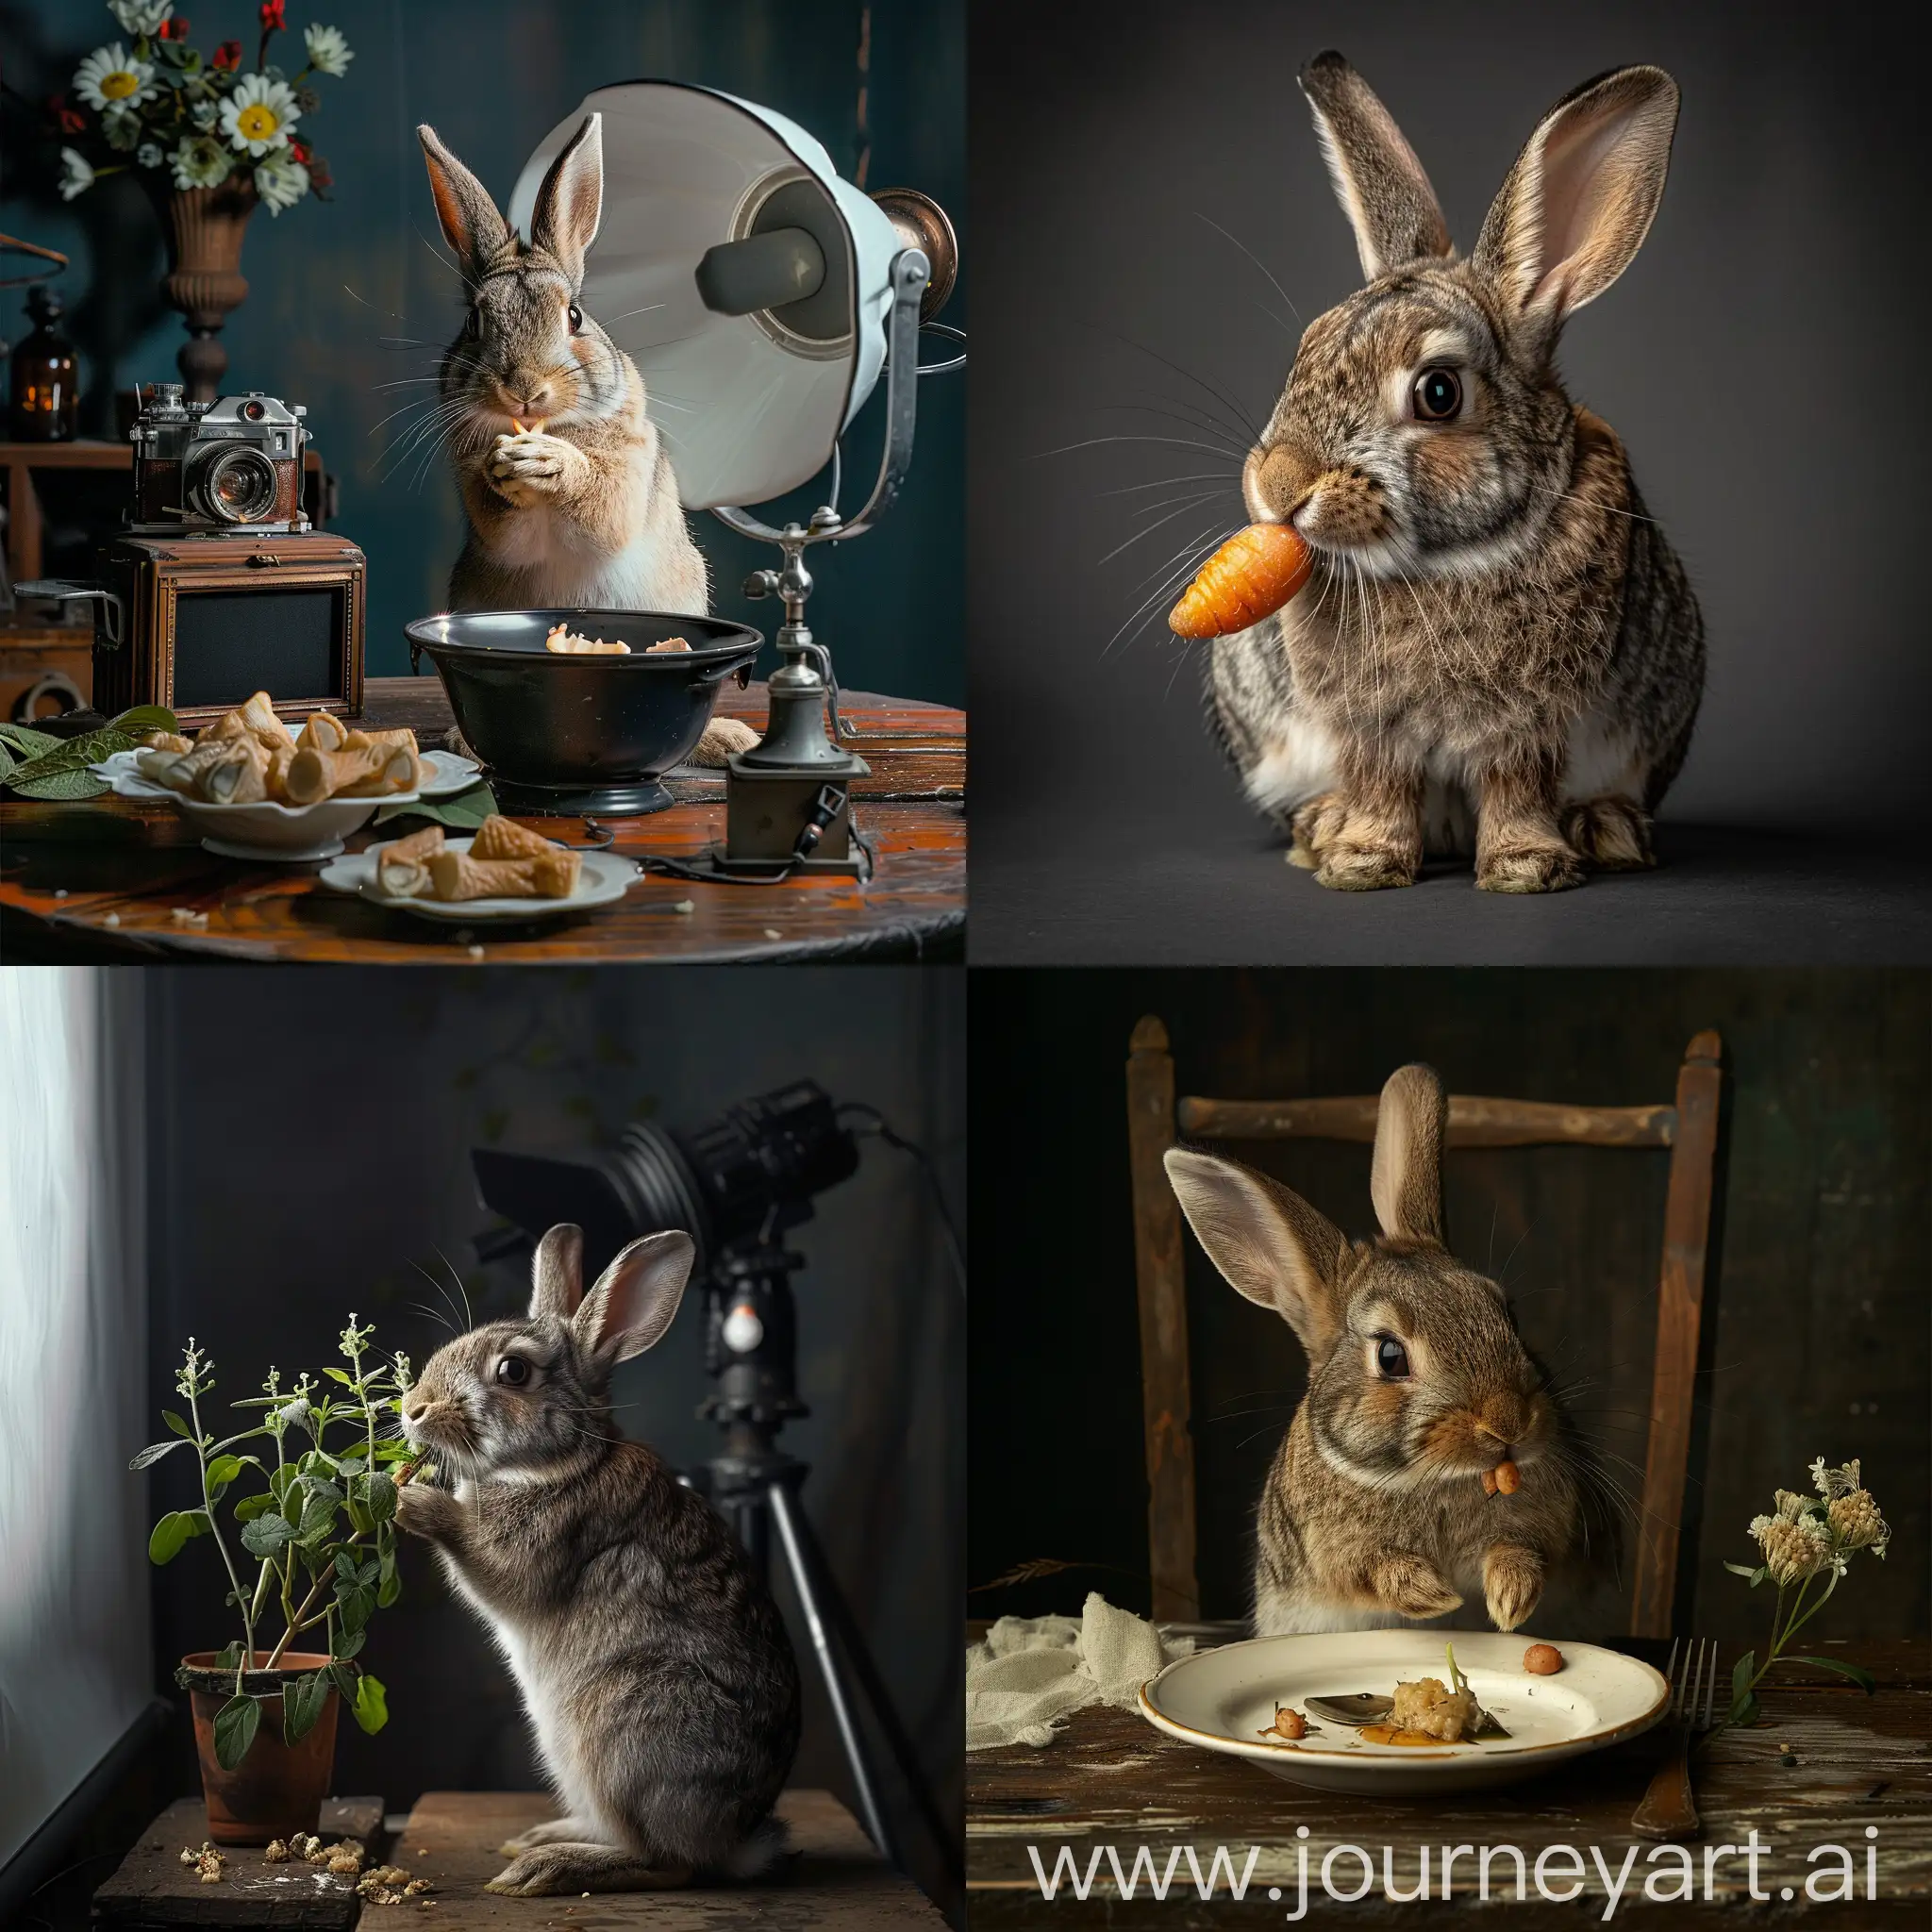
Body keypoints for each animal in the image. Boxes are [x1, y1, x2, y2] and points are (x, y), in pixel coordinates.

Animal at [399, 1228, 799, 1893]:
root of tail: (738, 1840)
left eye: (513, 1371)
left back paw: (547, 1869)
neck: (561, 1461)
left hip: (620, 1731)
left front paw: (412, 1501)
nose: (414, 1408)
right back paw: (543, 1839)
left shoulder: (538, 1545)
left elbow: (488, 1562)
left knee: (670, 1865)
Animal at [1158, 1066, 1584, 1638]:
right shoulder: (1332, 1553)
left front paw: (1510, 1597)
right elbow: (1369, 1569)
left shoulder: (1540, 1521)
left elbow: (1520, 1546)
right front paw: (1433, 1593)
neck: (1430, 1479)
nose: (1508, 1424)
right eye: (1389, 1356)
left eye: (1507, 1313)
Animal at [1205, 56, 1707, 889]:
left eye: (1438, 393)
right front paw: (1362, 861)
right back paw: (1322, 825)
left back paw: (1604, 829)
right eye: (1306, 349)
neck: (1444, 564)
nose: (1276, 486)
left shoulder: (1529, 721)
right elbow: (1380, 783)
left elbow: (1516, 785)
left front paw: (1526, 868)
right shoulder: (1368, 727)